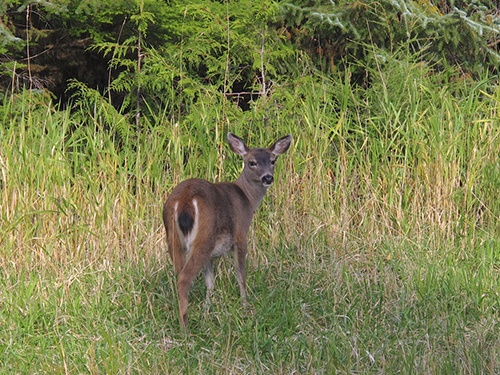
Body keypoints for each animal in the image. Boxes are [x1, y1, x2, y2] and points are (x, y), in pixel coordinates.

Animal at [162, 133, 292, 332]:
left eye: (272, 160)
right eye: (252, 162)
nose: (268, 178)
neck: (247, 199)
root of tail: (184, 201)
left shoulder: (212, 255)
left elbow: (210, 283)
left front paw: (208, 310)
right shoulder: (241, 234)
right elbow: (241, 274)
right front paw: (245, 304)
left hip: (174, 238)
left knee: (178, 273)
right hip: (204, 236)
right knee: (184, 277)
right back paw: (185, 329)